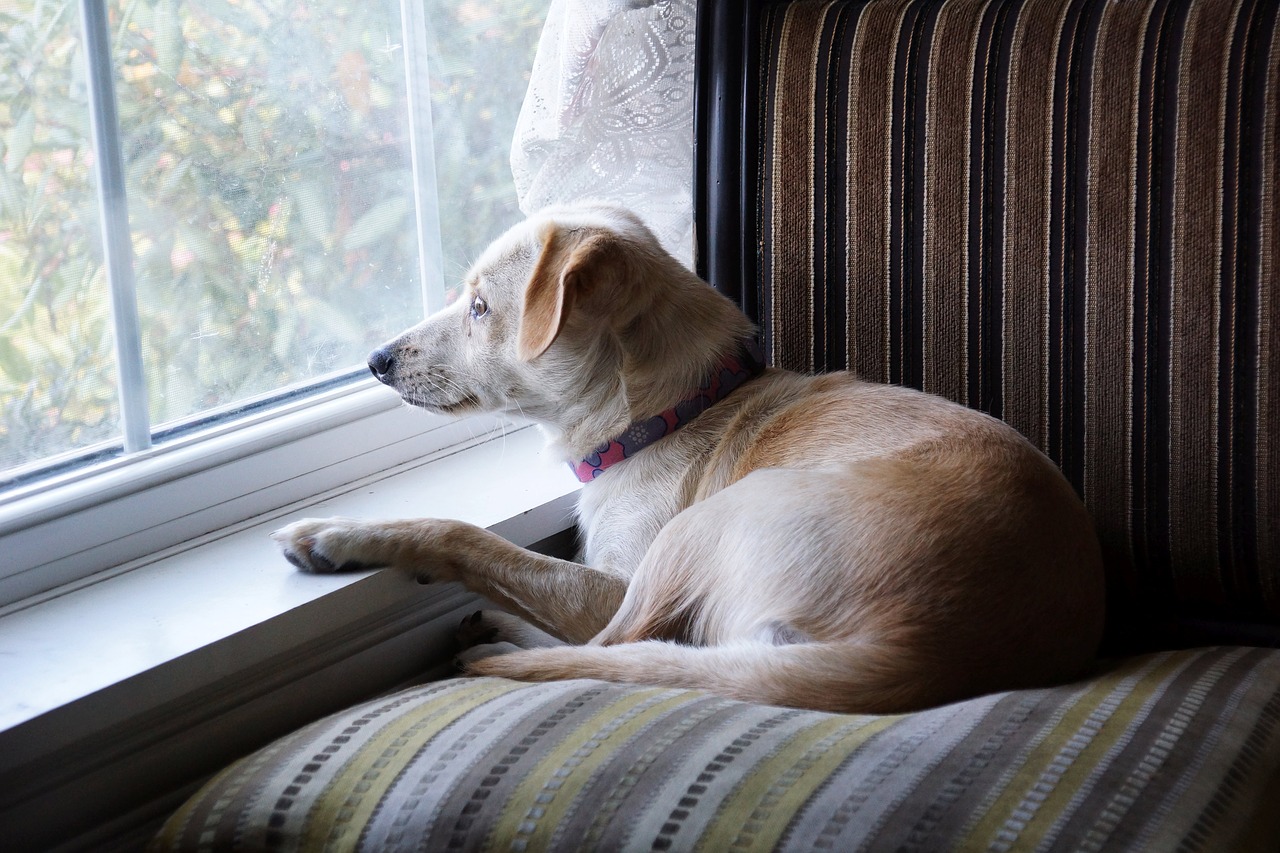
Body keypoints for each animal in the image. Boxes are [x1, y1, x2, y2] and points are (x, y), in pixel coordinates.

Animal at [272, 201, 1111, 712]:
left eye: (480, 308)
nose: (376, 359)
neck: (671, 410)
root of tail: (924, 653)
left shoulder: (609, 583)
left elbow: (467, 536)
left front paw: (339, 535)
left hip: (702, 529)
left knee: (616, 648)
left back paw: (495, 639)